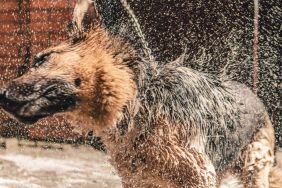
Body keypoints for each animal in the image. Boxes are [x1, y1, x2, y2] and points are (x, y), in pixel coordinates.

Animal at [0, 0, 282, 188]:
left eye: (42, 59)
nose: (1, 94)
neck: (137, 105)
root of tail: (256, 97)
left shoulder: (198, 176)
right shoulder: (141, 179)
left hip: (253, 170)